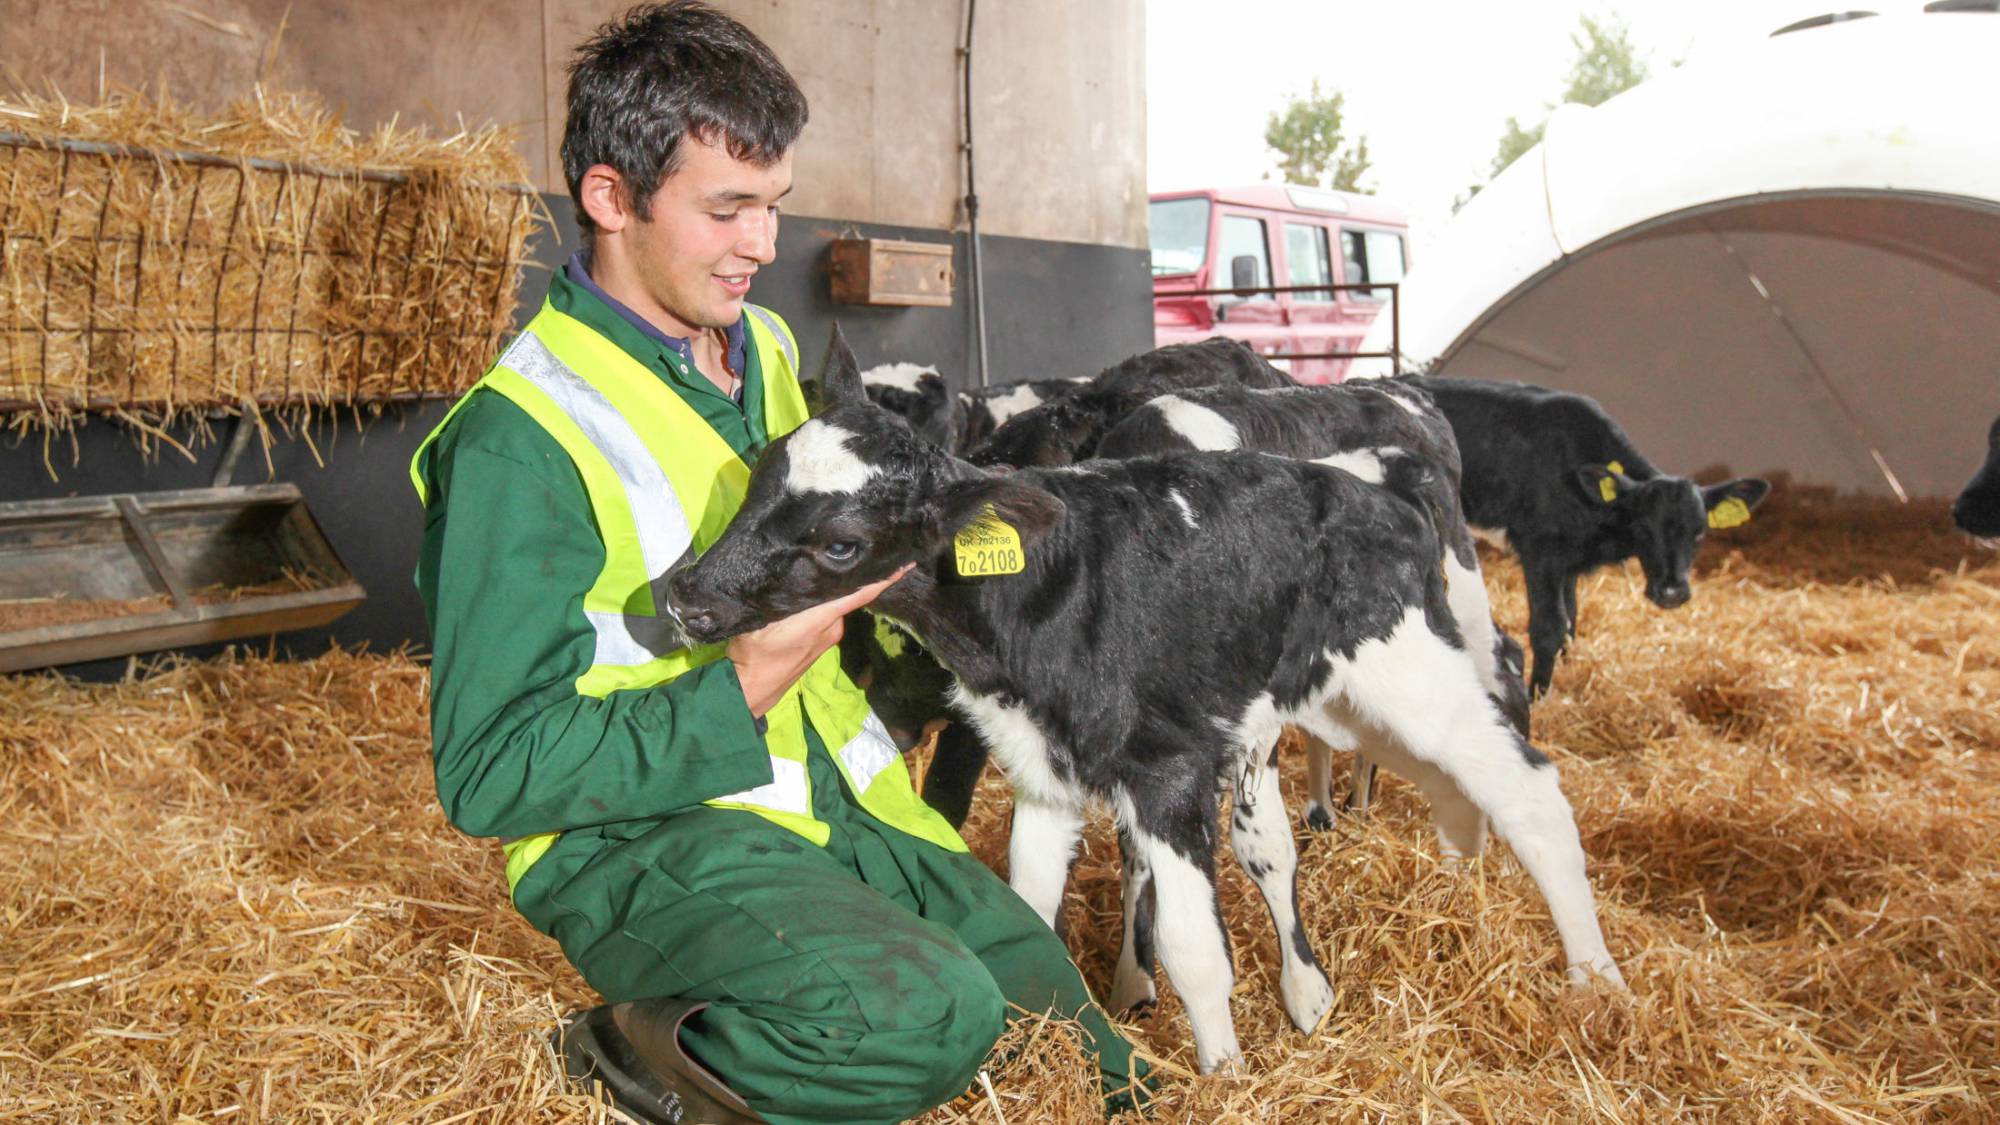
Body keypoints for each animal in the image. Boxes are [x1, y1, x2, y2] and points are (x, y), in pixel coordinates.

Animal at [672, 330, 1624, 1064]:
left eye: (842, 542)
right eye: (759, 472)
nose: (686, 595)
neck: (1044, 587)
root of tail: (1377, 479)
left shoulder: (1171, 769)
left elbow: (1195, 943)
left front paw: (1224, 1071)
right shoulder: (1044, 772)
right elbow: (1031, 908)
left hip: (1418, 660)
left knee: (1529, 787)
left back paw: (1596, 981)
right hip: (1352, 695)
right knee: (1445, 777)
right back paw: (1459, 874)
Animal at [1408, 372, 1768, 696]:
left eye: (1699, 532)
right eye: (1644, 528)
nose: (1671, 592)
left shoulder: (1570, 558)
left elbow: (1571, 620)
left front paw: (1569, 672)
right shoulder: (1542, 550)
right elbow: (1549, 627)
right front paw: (1539, 695)